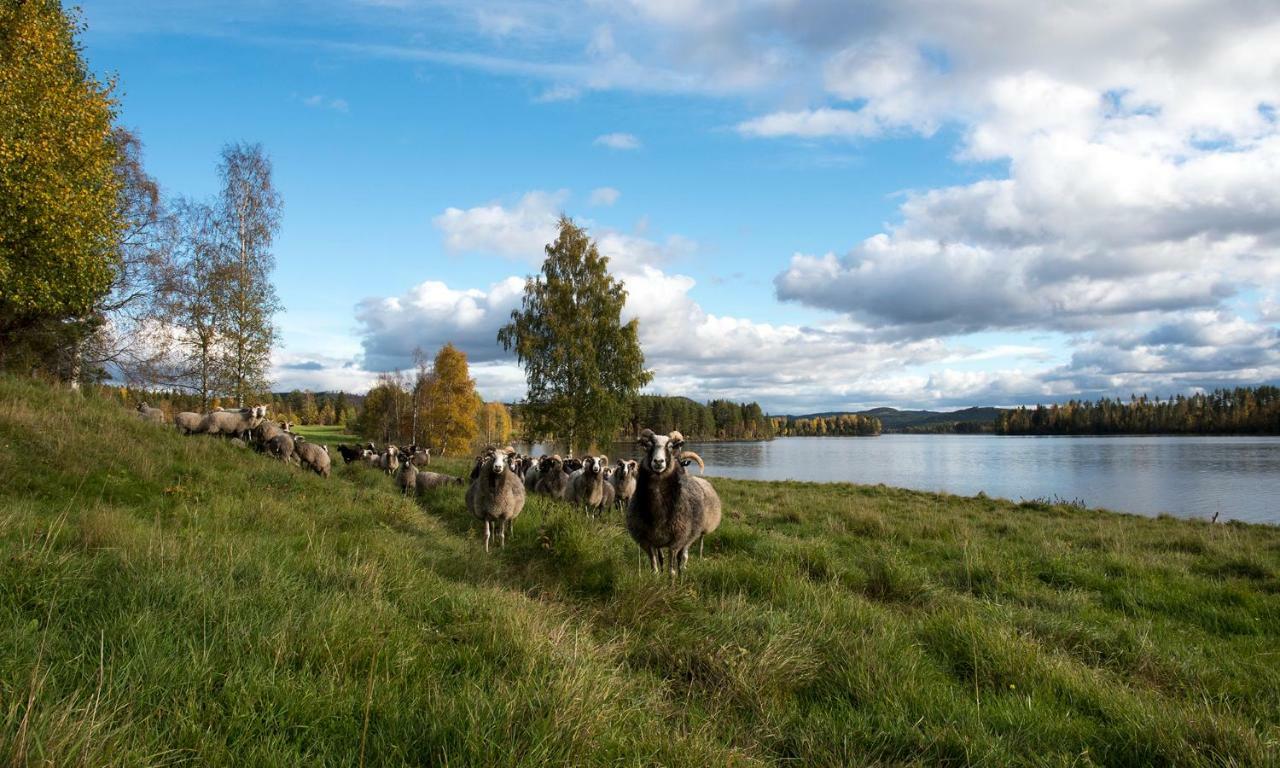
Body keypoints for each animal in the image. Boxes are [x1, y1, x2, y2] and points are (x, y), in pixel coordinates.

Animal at [627, 424, 721, 576]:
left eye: (670, 446)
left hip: (689, 537)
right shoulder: (647, 542)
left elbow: (672, 569)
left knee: (683, 556)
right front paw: (657, 577)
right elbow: (655, 565)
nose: (658, 461)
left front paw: (672, 579)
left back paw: (682, 570)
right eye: (649, 445)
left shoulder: (677, 540)